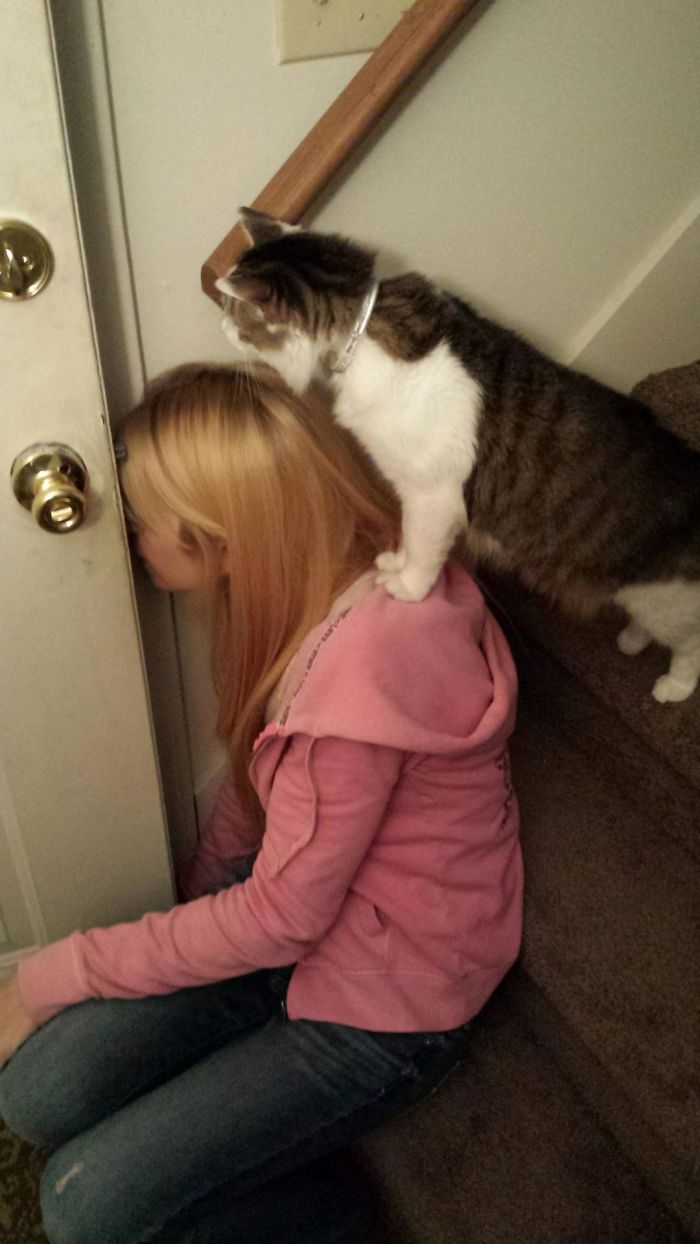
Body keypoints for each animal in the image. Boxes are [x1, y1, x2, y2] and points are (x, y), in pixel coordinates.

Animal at [215, 208, 700, 706]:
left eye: (234, 312)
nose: (222, 328)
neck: (362, 332)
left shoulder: (431, 497)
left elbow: (422, 550)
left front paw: (407, 588)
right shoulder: (413, 493)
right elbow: (407, 541)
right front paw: (395, 563)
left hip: (665, 600)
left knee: (690, 642)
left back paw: (674, 686)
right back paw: (632, 640)